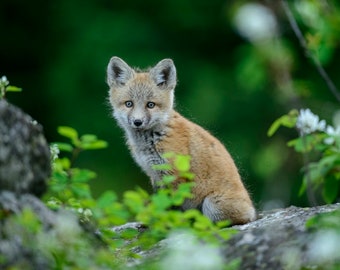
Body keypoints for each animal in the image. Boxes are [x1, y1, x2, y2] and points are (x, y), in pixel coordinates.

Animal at [106, 56, 255, 225]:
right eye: (129, 103)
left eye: (150, 105)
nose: (138, 122)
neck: (152, 140)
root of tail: (252, 209)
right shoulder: (155, 175)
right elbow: (160, 203)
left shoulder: (174, 174)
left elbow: (171, 206)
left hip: (212, 205)